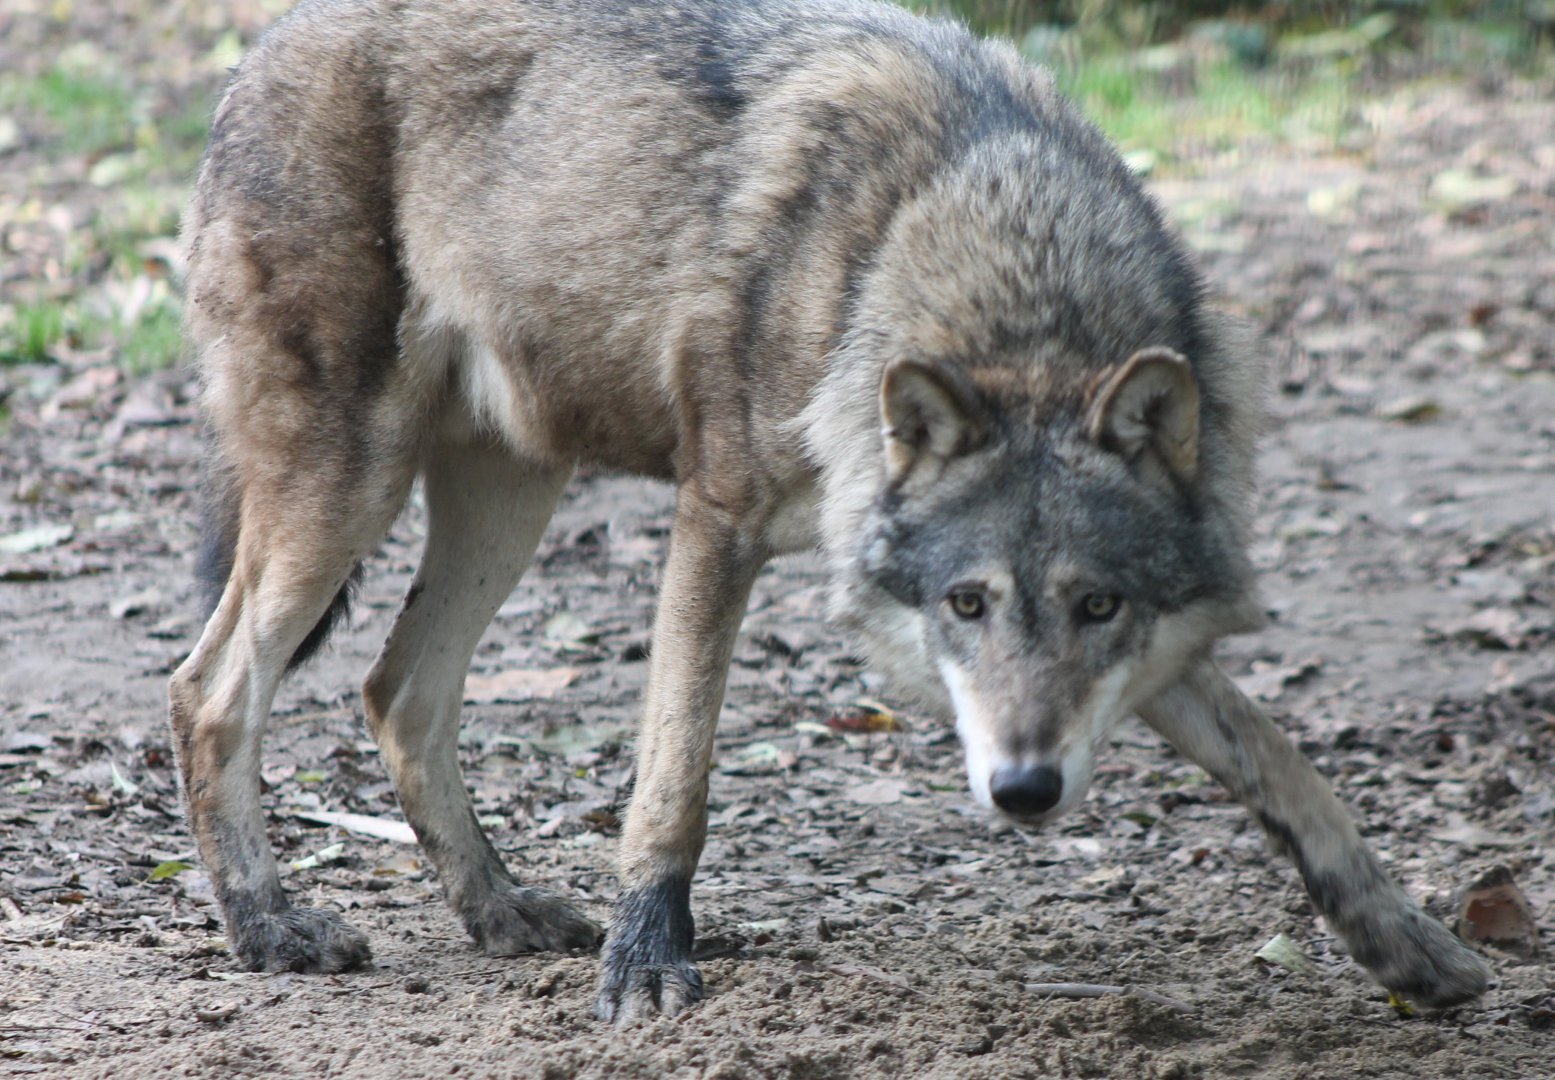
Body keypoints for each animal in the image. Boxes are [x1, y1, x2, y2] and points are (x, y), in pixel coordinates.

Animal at [170, 0, 1489, 1024]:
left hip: (509, 492)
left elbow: (1290, 771)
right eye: (966, 603)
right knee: (210, 688)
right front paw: (646, 964)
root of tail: (261, 45)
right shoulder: (717, 518)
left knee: (399, 690)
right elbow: (677, 778)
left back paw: (498, 908)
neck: (1007, 297)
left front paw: (1410, 946)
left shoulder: (1152, 653)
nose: (1023, 792)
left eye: (1097, 607)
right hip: (350, 484)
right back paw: (269, 928)